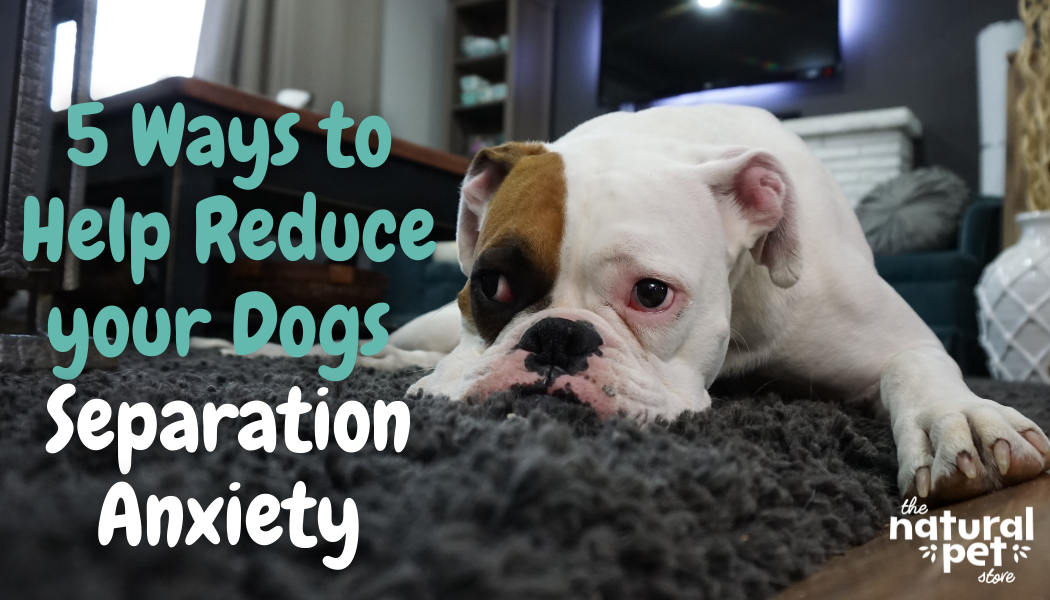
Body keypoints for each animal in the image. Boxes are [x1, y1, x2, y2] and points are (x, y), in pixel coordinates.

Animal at [365, 105, 1045, 504]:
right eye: (492, 285)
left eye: (651, 293)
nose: (558, 335)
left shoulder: (901, 338)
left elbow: (916, 366)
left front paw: (958, 419)